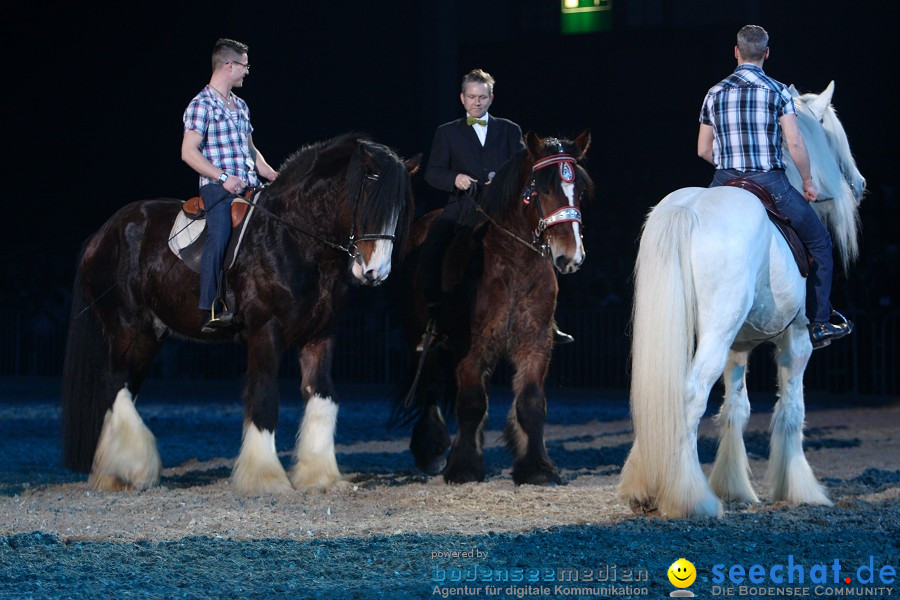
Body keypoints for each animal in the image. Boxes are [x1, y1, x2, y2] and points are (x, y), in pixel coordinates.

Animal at [63, 135, 422, 492]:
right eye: (368, 200)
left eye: (400, 210)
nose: (375, 272)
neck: (294, 236)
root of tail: (102, 234)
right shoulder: (265, 329)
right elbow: (264, 397)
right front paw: (265, 477)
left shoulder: (321, 334)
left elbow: (323, 397)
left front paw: (320, 475)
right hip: (126, 327)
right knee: (114, 383)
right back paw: (133, 468)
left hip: (149, 337)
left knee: (125, 387)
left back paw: (112, 471)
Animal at [394, 130, 592, 482]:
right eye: (541, 190)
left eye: (580, 191)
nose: (571, 257)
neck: (514, 262)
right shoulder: (473, 345)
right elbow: (472, 403)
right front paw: (464, 467)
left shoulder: (536, 340)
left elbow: (531, 402)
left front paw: (536, 467)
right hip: (420, 336)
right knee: (428, 385)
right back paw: (431, 450)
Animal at [620, 82, 864, 516]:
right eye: (832, 136)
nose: (860, 183)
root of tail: (689, 210)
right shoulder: (797, 341)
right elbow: (792, 410)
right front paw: (801, 488)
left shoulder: (739, 347)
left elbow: (736, 410)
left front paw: (734, 487)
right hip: (719, 335)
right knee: (690, 393)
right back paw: (690, 496)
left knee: (660, 399)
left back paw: (647, 487)